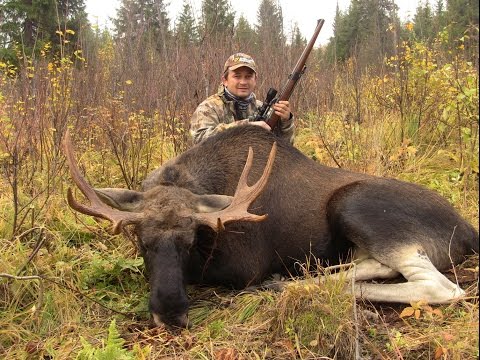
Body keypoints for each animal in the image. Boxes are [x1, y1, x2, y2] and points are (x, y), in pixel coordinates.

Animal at [64, 125, 480, 328]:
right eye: (141, 241)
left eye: (191, 240)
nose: (170, 313)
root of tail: (468, 229)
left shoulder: (243, 267)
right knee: (373, 266)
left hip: (354, 205)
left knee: (438, 286)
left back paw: (287, 285)